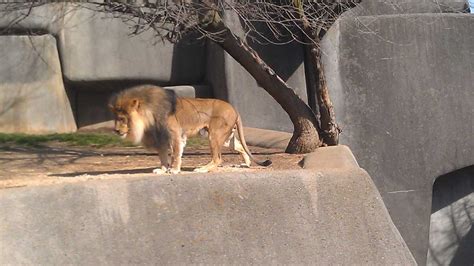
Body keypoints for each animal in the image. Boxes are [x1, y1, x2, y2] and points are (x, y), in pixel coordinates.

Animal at [107, 84, 270, 174]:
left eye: (122, 119)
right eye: (116, 118)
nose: (116, 130)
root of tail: (234, 109)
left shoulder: (175, 133)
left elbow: (175, 154)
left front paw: (174, 170)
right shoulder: (161, 138)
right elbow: (163, 155)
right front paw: (163, 169)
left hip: (214, 135)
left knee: (218, 158)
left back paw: (202, 169)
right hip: (225, 138)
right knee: (240, 146)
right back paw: (246, 164)